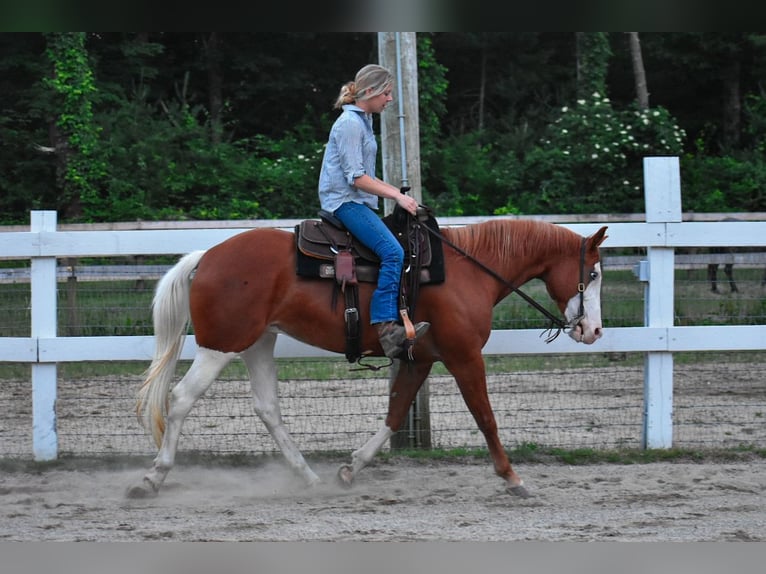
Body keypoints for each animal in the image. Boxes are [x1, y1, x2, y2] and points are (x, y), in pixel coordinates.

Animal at [126, 216, 608, 500]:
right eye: (593, 273)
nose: (594, 330)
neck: (467, 270)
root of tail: (205, 257)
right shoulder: (464, 356)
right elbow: (485, 417)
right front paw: (512, 478)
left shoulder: (420, 358)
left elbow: (395, 413)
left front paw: (351, 468)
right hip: (220, 346)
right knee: (181, 399)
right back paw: (152, 477)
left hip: (258, 343)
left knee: (267, 409)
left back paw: (309, 478)